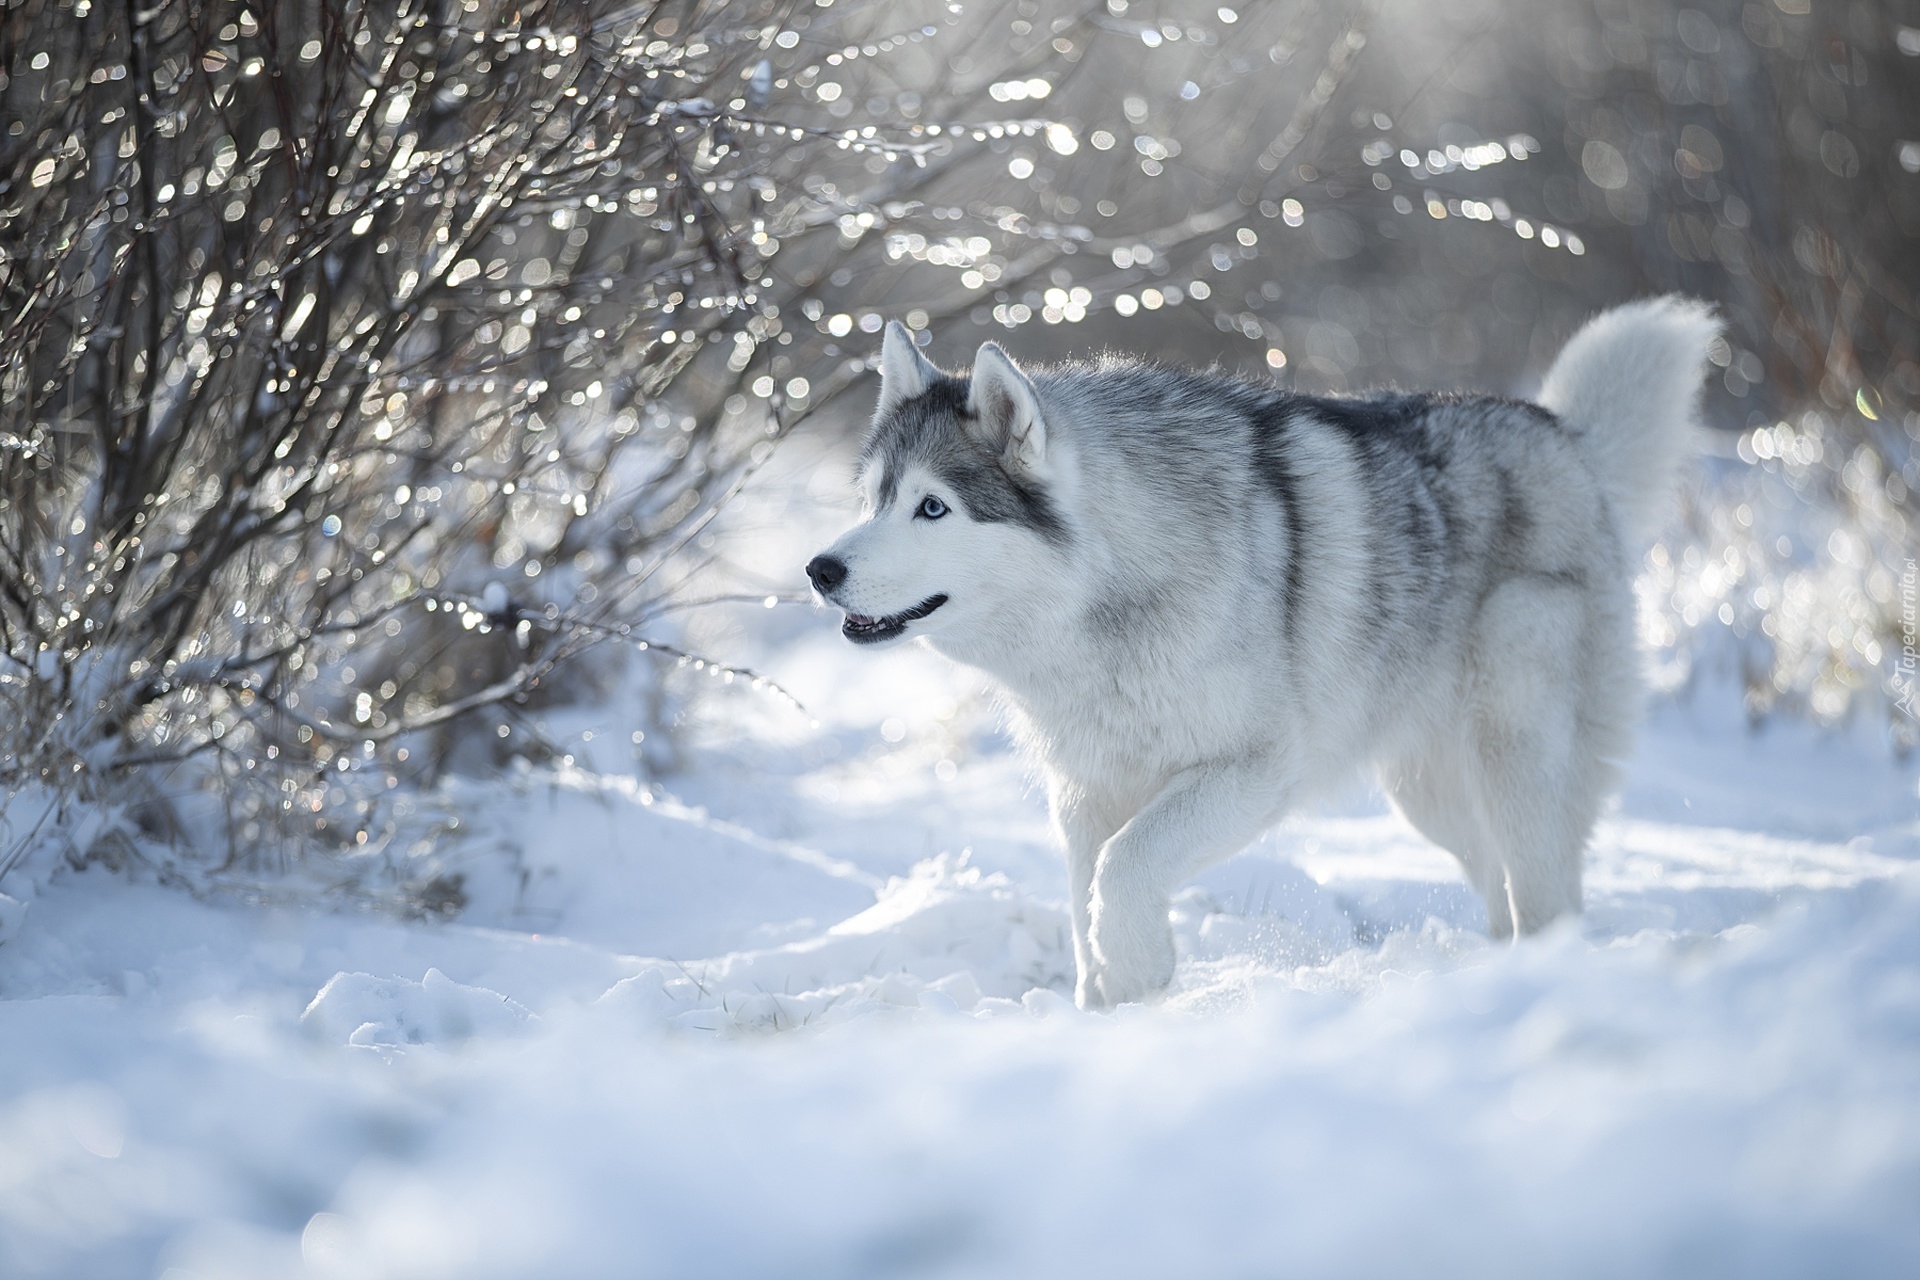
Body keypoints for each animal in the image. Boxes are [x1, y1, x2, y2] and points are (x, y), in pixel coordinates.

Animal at [810, 303, 1728, 1013]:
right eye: (873, 500)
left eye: (933, 507)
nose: (821, 570)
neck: (1114, 591)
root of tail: (1567, 437)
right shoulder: (1087, 792)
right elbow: (1085, 893)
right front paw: (1106, 1010)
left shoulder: (1252, 771)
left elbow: (1124, 867)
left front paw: (1140, 972)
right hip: (1429, 797)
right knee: (1500, 889)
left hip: (1510, 756)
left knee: (1549, 897)